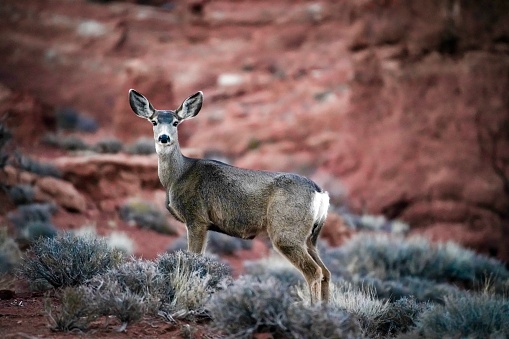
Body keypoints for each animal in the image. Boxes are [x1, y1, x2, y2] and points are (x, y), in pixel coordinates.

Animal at [129, 89, 332, 304]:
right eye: (154, 121)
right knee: (326, 272)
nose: (164, 138)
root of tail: (320, 193)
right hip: (311, 237)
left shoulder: (197, 218)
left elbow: (193, 261)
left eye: (176, 122)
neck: (178, 175)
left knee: (314, 271)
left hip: (287, 231)